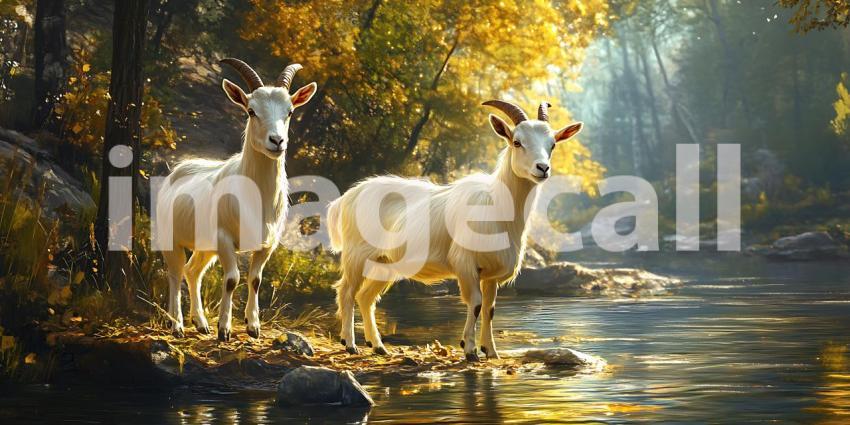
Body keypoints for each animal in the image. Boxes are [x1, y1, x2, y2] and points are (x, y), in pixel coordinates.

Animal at [155, 58, 317, 341]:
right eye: (251, 111)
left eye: (290, 112)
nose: (277, 141)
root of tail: (176, 172)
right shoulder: (225, 238)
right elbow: (232, 279)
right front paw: (224, 329)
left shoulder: (266, 244)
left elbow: (255, 280)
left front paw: (253, 327)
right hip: (172, 237)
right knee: (175, 273)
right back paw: (177, 326)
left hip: (205, 245)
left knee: (192, 271)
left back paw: (200, 323)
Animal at [327, 100, 582, 360]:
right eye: (517, 142)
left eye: (552, 144)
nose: (542, 168)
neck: (496, 206)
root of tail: (347, 197)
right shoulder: (465, 263)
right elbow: (476, 304)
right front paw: (469, 350)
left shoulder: (491, 273)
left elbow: (489, 309)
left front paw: (491, 351)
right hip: (356, 254)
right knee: (346, 291)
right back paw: (349, 343)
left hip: (385, 262)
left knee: (365, 297)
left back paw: (378, 346)